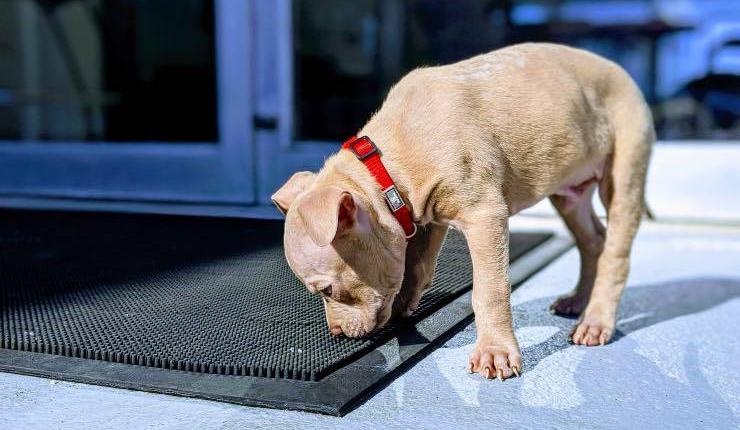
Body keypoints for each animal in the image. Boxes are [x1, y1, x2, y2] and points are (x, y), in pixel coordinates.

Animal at [274, 43, 652, 380]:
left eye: (326, 290)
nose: (336, 333)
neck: (385, 167)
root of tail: (621, 71)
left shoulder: (485, 214)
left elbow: (489, 290)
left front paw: (495, 352)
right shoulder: (424, 214)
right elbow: (416, 265)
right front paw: (404, 305)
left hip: (625, 168)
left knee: (616, 252)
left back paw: (596, 320)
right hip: (569, 192)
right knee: (593, 240)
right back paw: (578, 301)